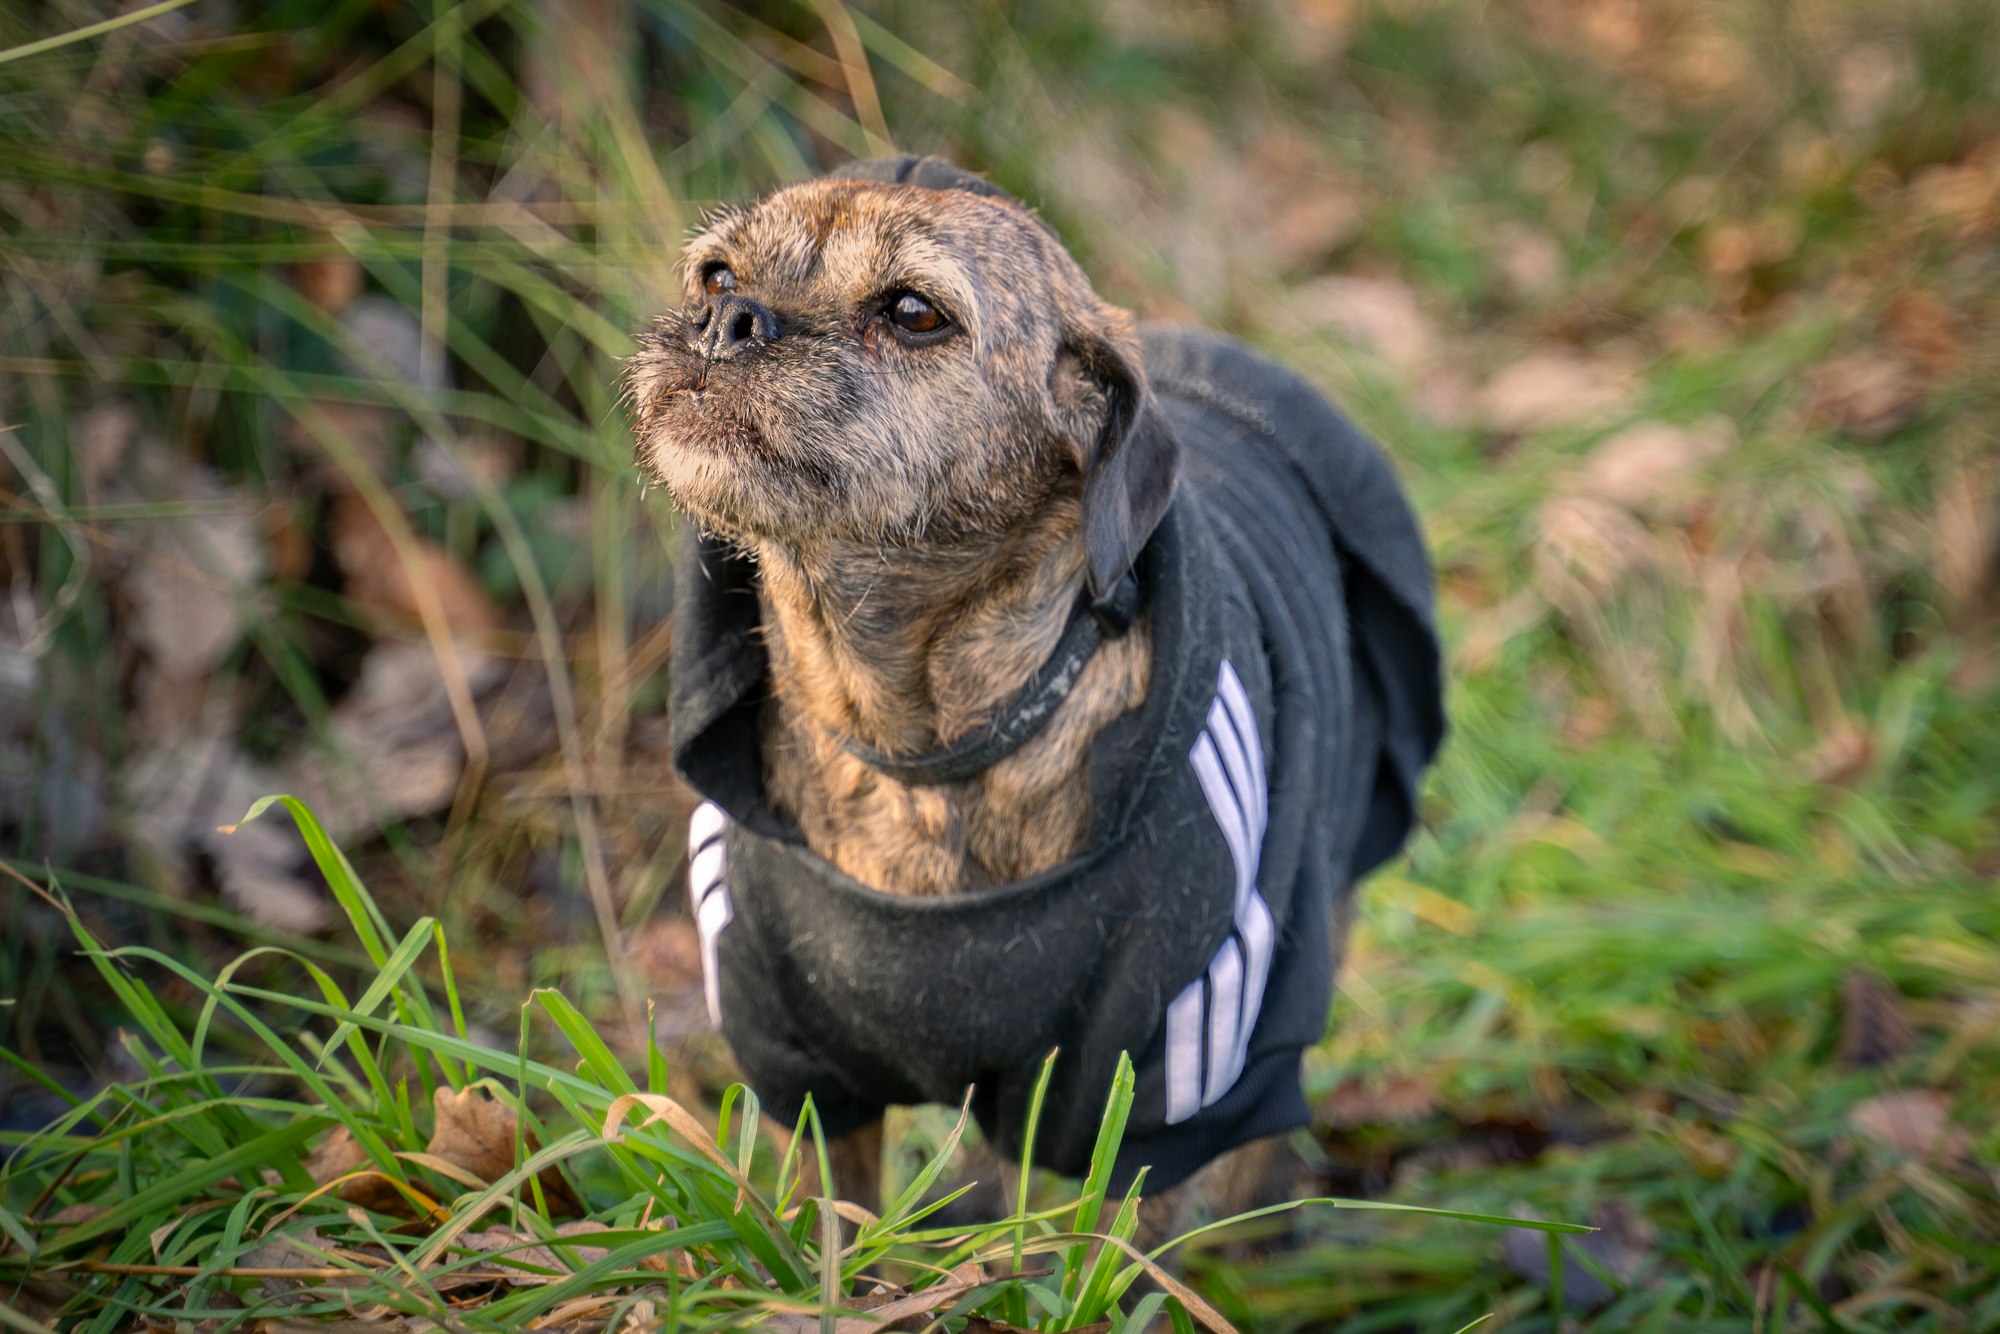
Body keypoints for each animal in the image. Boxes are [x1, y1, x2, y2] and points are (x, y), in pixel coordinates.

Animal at [624, 159, 1440, 1256]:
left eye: (913, 312)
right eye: (714, 274)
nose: (728, 319)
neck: (916, 751)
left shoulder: (1159, 1093)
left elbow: (1123, 1256)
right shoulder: (803, 1076)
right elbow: (820, 1218)